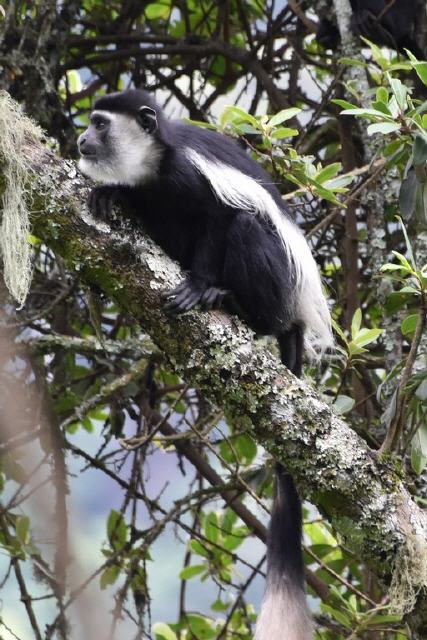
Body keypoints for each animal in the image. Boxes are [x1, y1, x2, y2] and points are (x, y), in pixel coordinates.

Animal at [77, 91, 334, 640]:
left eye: (100, 124)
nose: (82, 139)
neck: (155, 164)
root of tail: (297, 317)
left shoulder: (190, 176)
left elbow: (219, 219)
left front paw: (198, 285)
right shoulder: (151, 192)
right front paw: (109, 196)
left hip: (275, 280)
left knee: (246, 228)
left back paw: (227, 299)